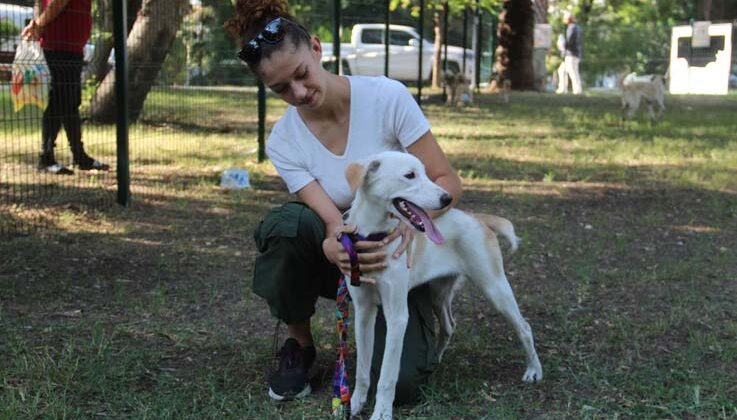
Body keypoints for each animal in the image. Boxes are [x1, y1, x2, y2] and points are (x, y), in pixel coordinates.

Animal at [340, 152, 540, 420]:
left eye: (425, 172)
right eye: (410, 175)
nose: (446, 198)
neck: (376, 237)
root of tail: (477, 218)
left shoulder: (397, 317)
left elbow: (387, 375)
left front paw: (381, 412)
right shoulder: (363, 312)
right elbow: (363, 369)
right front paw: (355, 404)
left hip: (495, 288)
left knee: (524, 327)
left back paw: (534, 370)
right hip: (439, 294)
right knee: (449, 325)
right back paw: (435, 360)